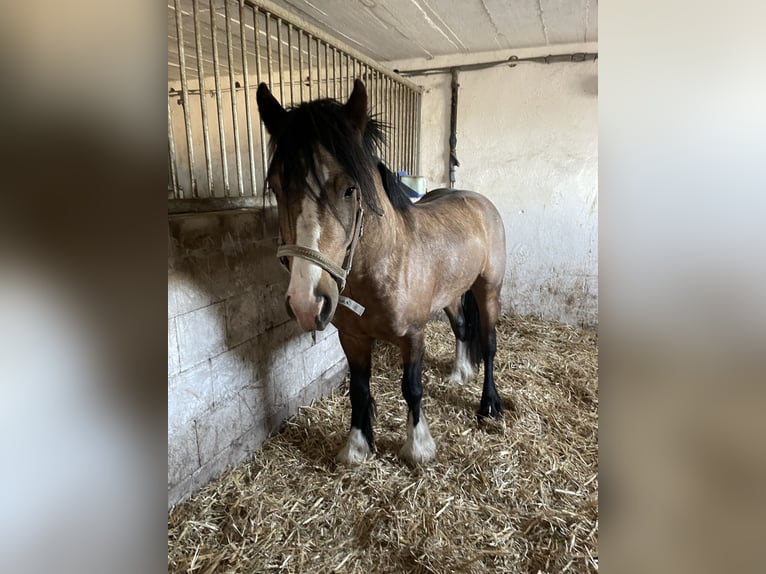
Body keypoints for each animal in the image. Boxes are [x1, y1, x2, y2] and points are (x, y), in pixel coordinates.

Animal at [260, 82, 510, 468]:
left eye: (350, 188)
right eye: (275, 186)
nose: (307, 302)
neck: (383, 265)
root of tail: (478, 201)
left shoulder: (414, 335)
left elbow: (412, 388)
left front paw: (418, 447)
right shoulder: (352, 337)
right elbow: (359, 389)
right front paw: (357, 446)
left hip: (489, 290)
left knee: (488, 343)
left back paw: (489, 405)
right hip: (452, 294)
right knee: (462, 328)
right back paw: (459, 374)